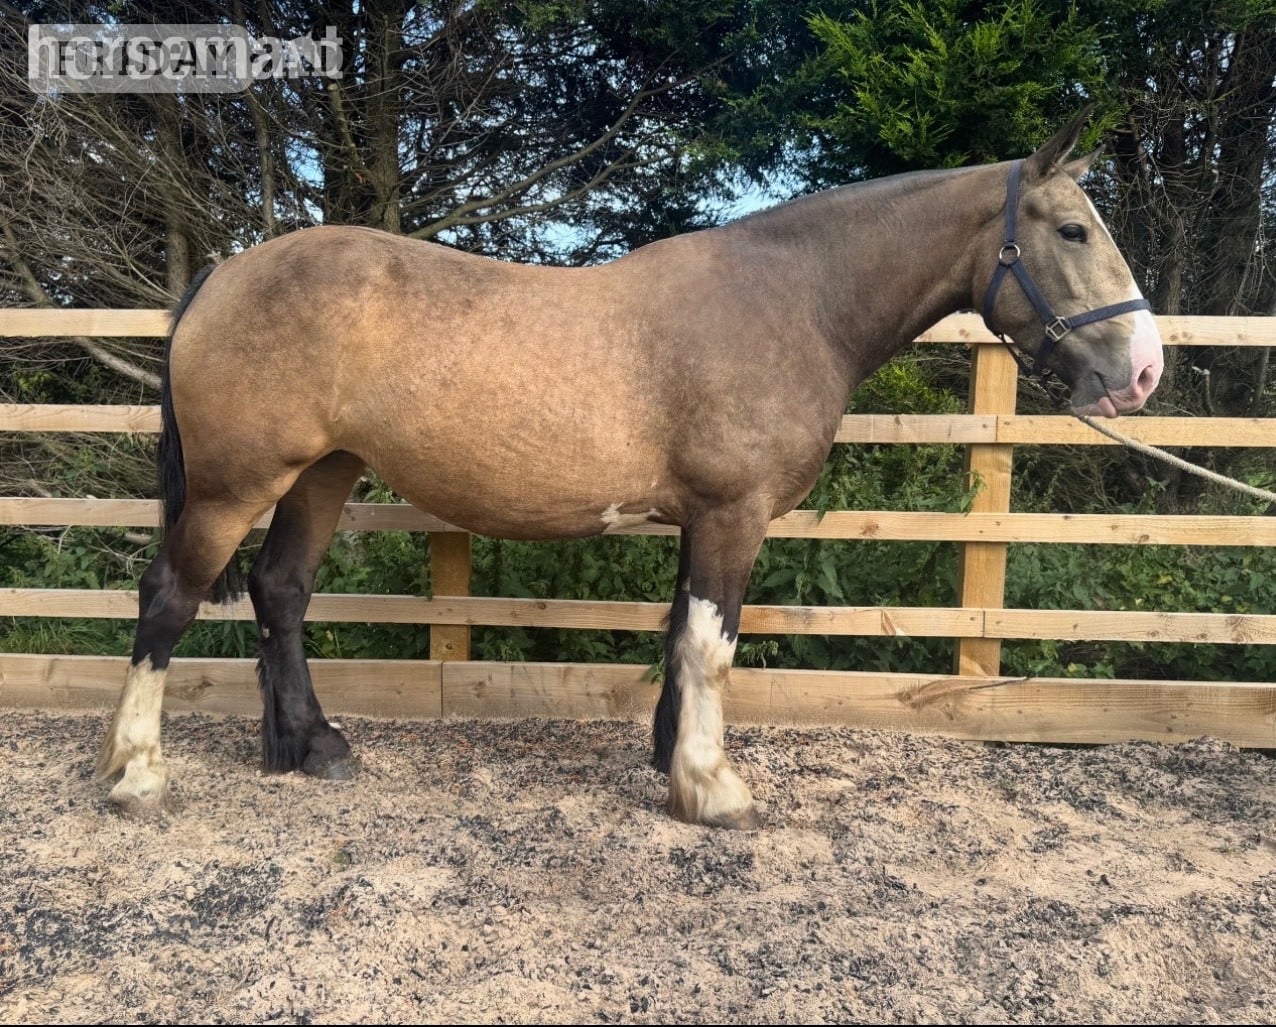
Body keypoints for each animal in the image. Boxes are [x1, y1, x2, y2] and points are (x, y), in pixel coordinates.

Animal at [97, 112, 1163, 827]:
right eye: (1073, 230)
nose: (1144, 369)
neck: (791, 300)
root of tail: (223, 276)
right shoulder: (734, 512)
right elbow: (713, 645)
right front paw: (714, 788)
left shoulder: (703, 517)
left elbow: (681, 636)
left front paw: (673, 760)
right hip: (236, 486)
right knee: (167, 599)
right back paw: (137, 773)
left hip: (325, 470)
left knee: (280, 590)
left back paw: (310, 748)